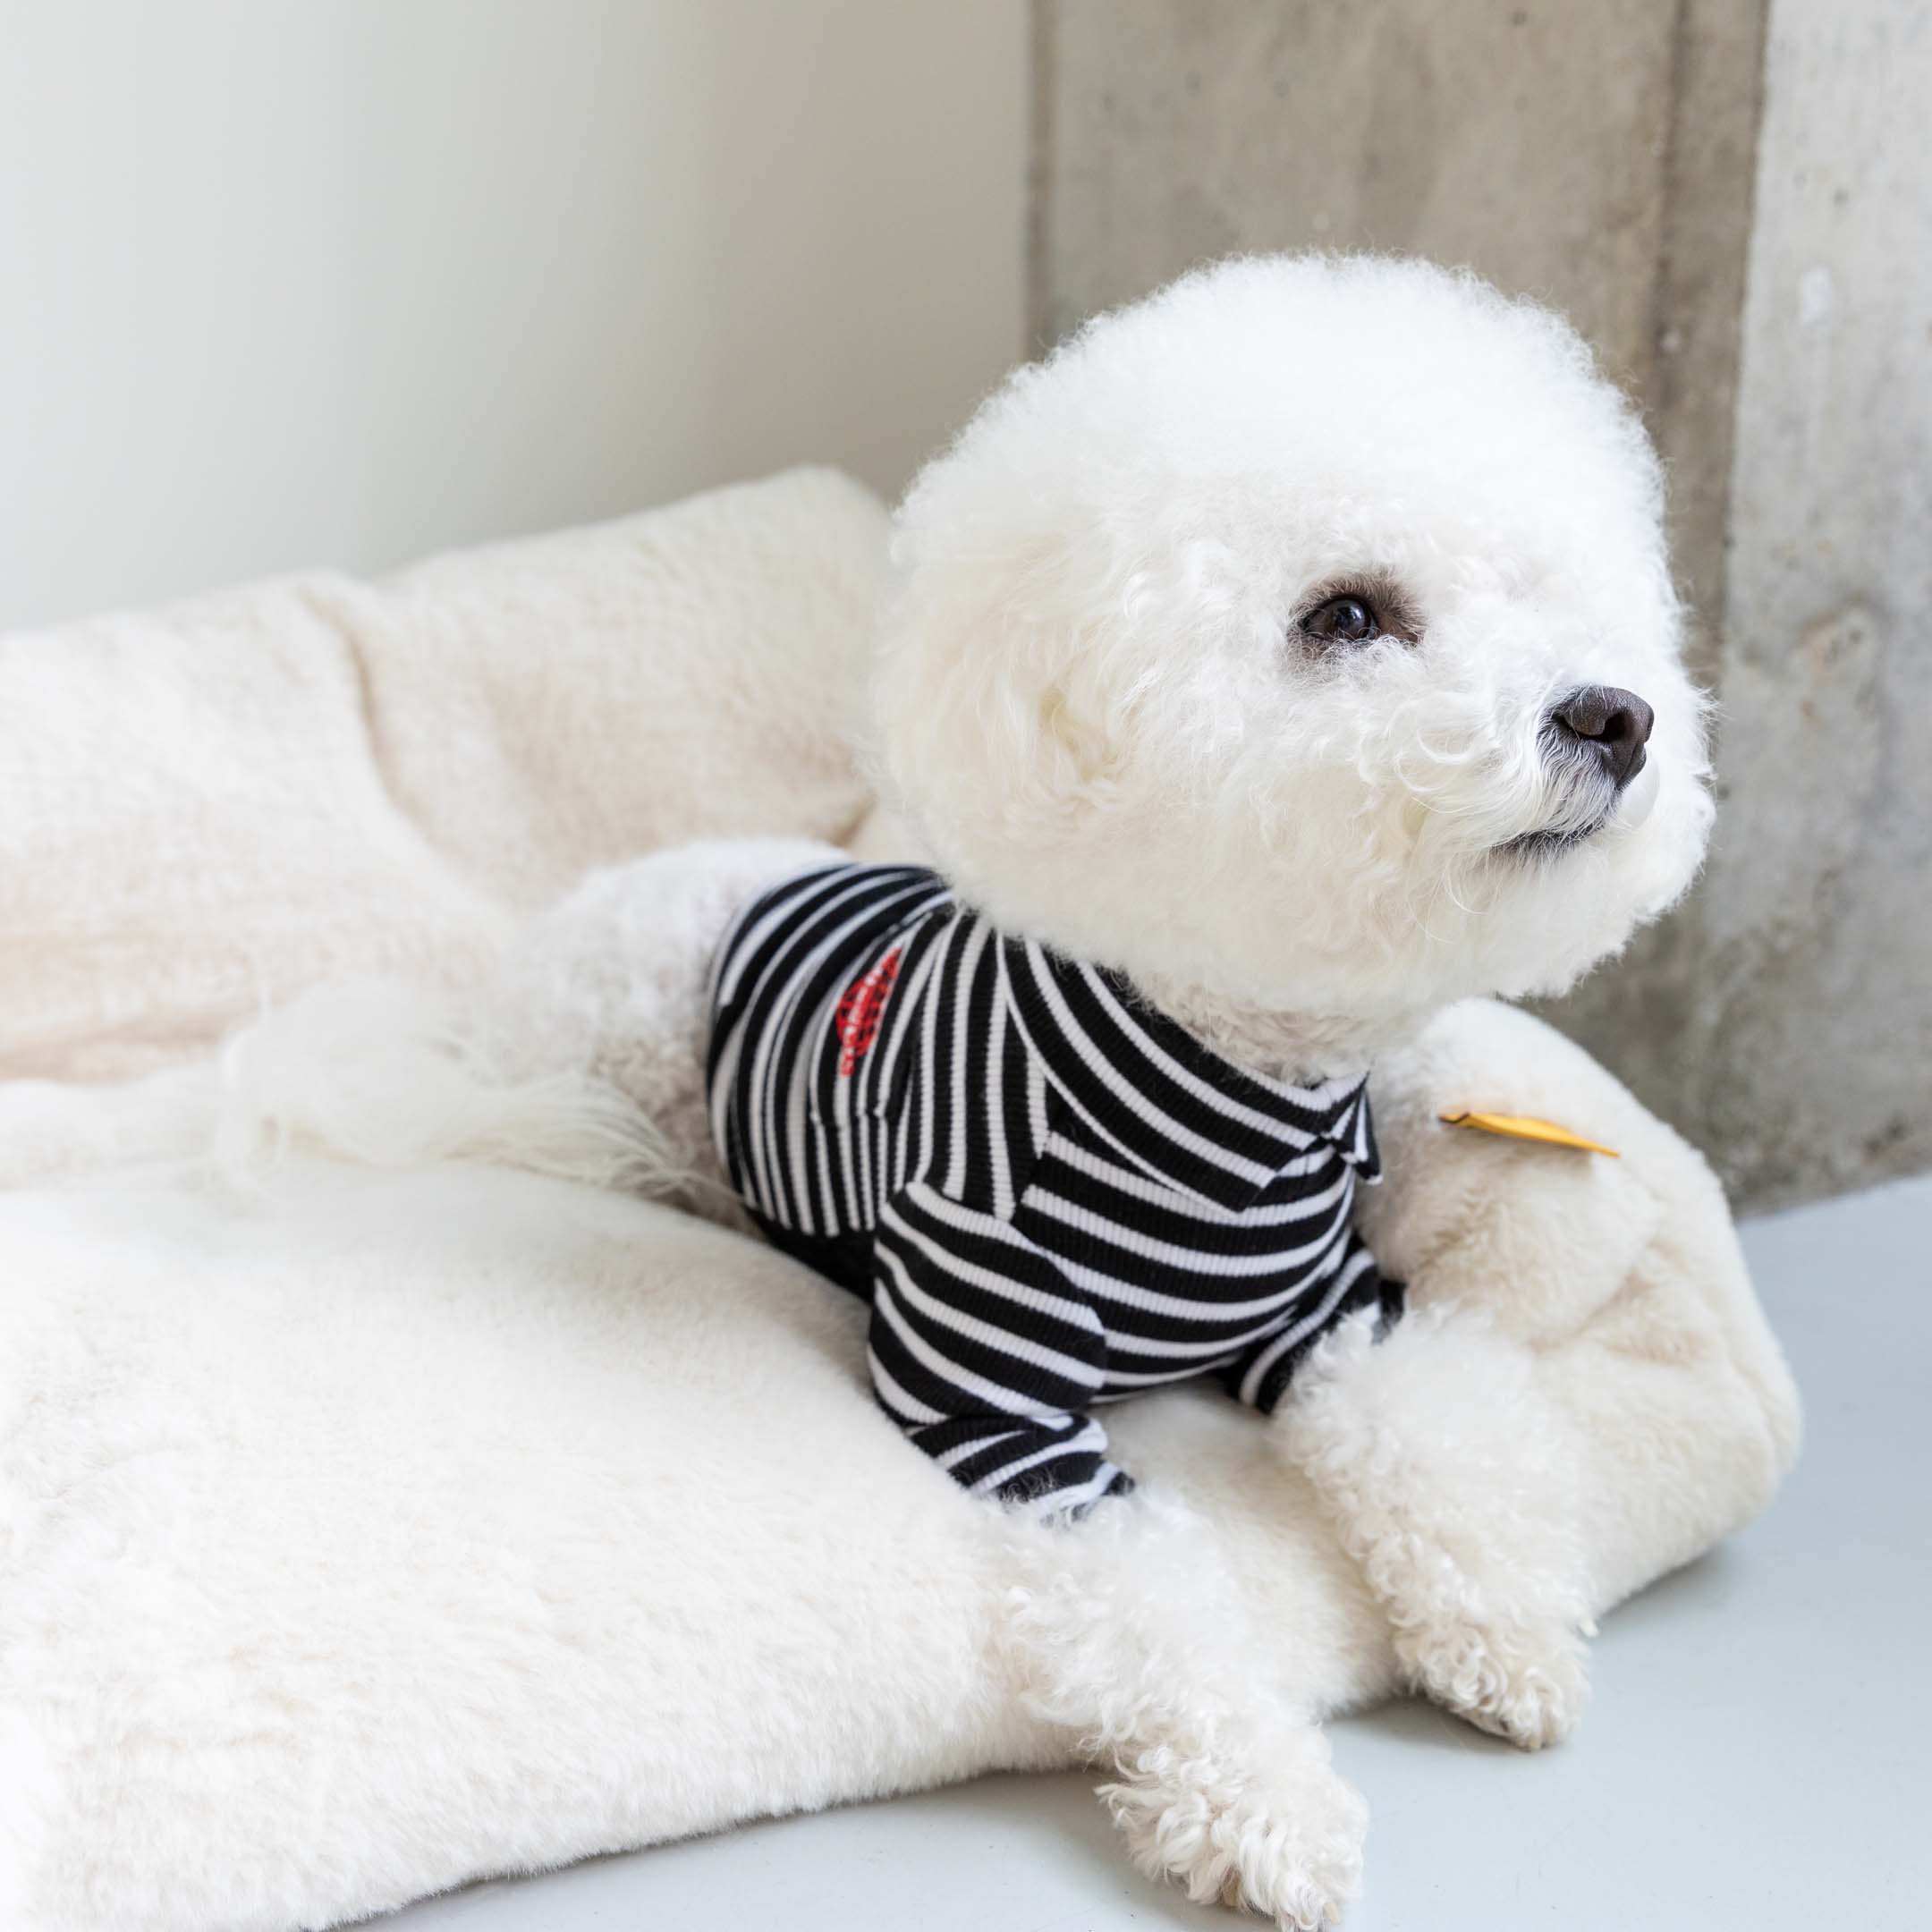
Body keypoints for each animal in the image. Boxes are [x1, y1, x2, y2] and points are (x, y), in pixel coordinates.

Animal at [407, 252, 1707, 1916]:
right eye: (1348, 615)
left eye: (1544, 592)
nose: (1615, 715)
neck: (1226, 1089)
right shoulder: (999, 1401)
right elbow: (1162, 1608)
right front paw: (1270, 1807)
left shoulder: (1339, 1312)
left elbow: (1440, 1437)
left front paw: (1509, 1634)